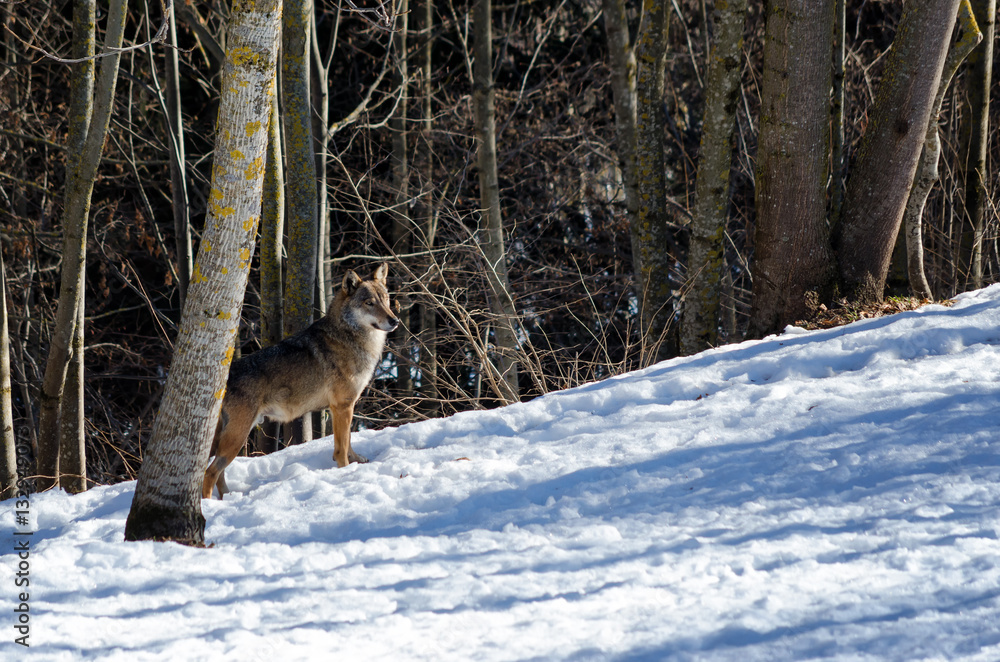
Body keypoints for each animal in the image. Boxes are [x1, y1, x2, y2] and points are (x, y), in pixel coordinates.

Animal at [202, 263, 400, 499]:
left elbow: (348, 441)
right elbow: (341, 448)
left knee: (218, 472)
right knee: (209, 472)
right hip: (237, 437)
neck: (349, 337)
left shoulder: (343, 407)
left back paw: (228, 498)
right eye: (369, 303)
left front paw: (356, 461)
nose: (395, 321)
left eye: (386, 300)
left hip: (232, 438)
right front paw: (344, 471)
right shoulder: (342, 406)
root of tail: (223, 380)